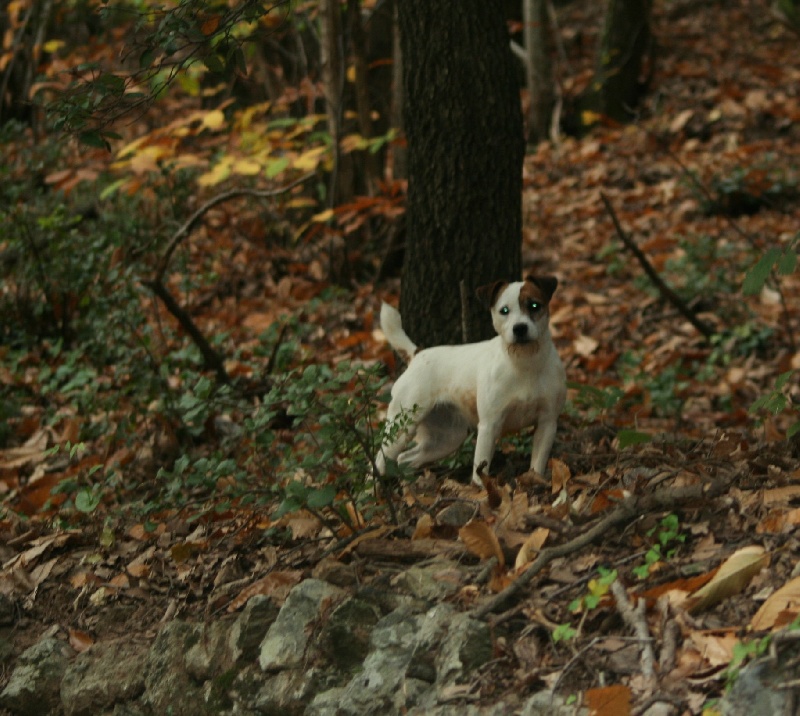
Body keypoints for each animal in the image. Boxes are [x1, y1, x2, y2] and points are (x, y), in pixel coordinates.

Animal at [376, 275, 566, 487]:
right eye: (504, 311)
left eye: (534, 305)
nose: (520, 328)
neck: (524, 364)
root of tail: (417, 354)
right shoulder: (489, 426)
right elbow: (480, 467)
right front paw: (481, 490)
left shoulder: (547, 423)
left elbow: (538, 463)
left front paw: (536, 480)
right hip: (401, 427)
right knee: (380, 459)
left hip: (447, 438)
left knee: (405, 458)